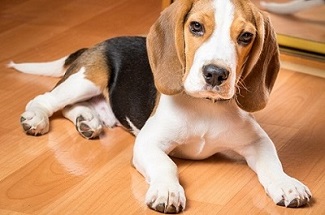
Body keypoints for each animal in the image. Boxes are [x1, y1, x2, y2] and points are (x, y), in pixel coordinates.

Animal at [9, 0, 312, 213]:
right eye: (196, 27)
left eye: (246, 36)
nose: (215, 74)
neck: (204, 107)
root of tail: (97, 45)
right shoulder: (148, 143)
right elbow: (166, 165)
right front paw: (167, 191)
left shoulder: (257, 141)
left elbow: (273, 163)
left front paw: (287, 184)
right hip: (87, 79)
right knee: (46, 100)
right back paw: (36, 118)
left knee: (73, 108)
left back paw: (87, 121)